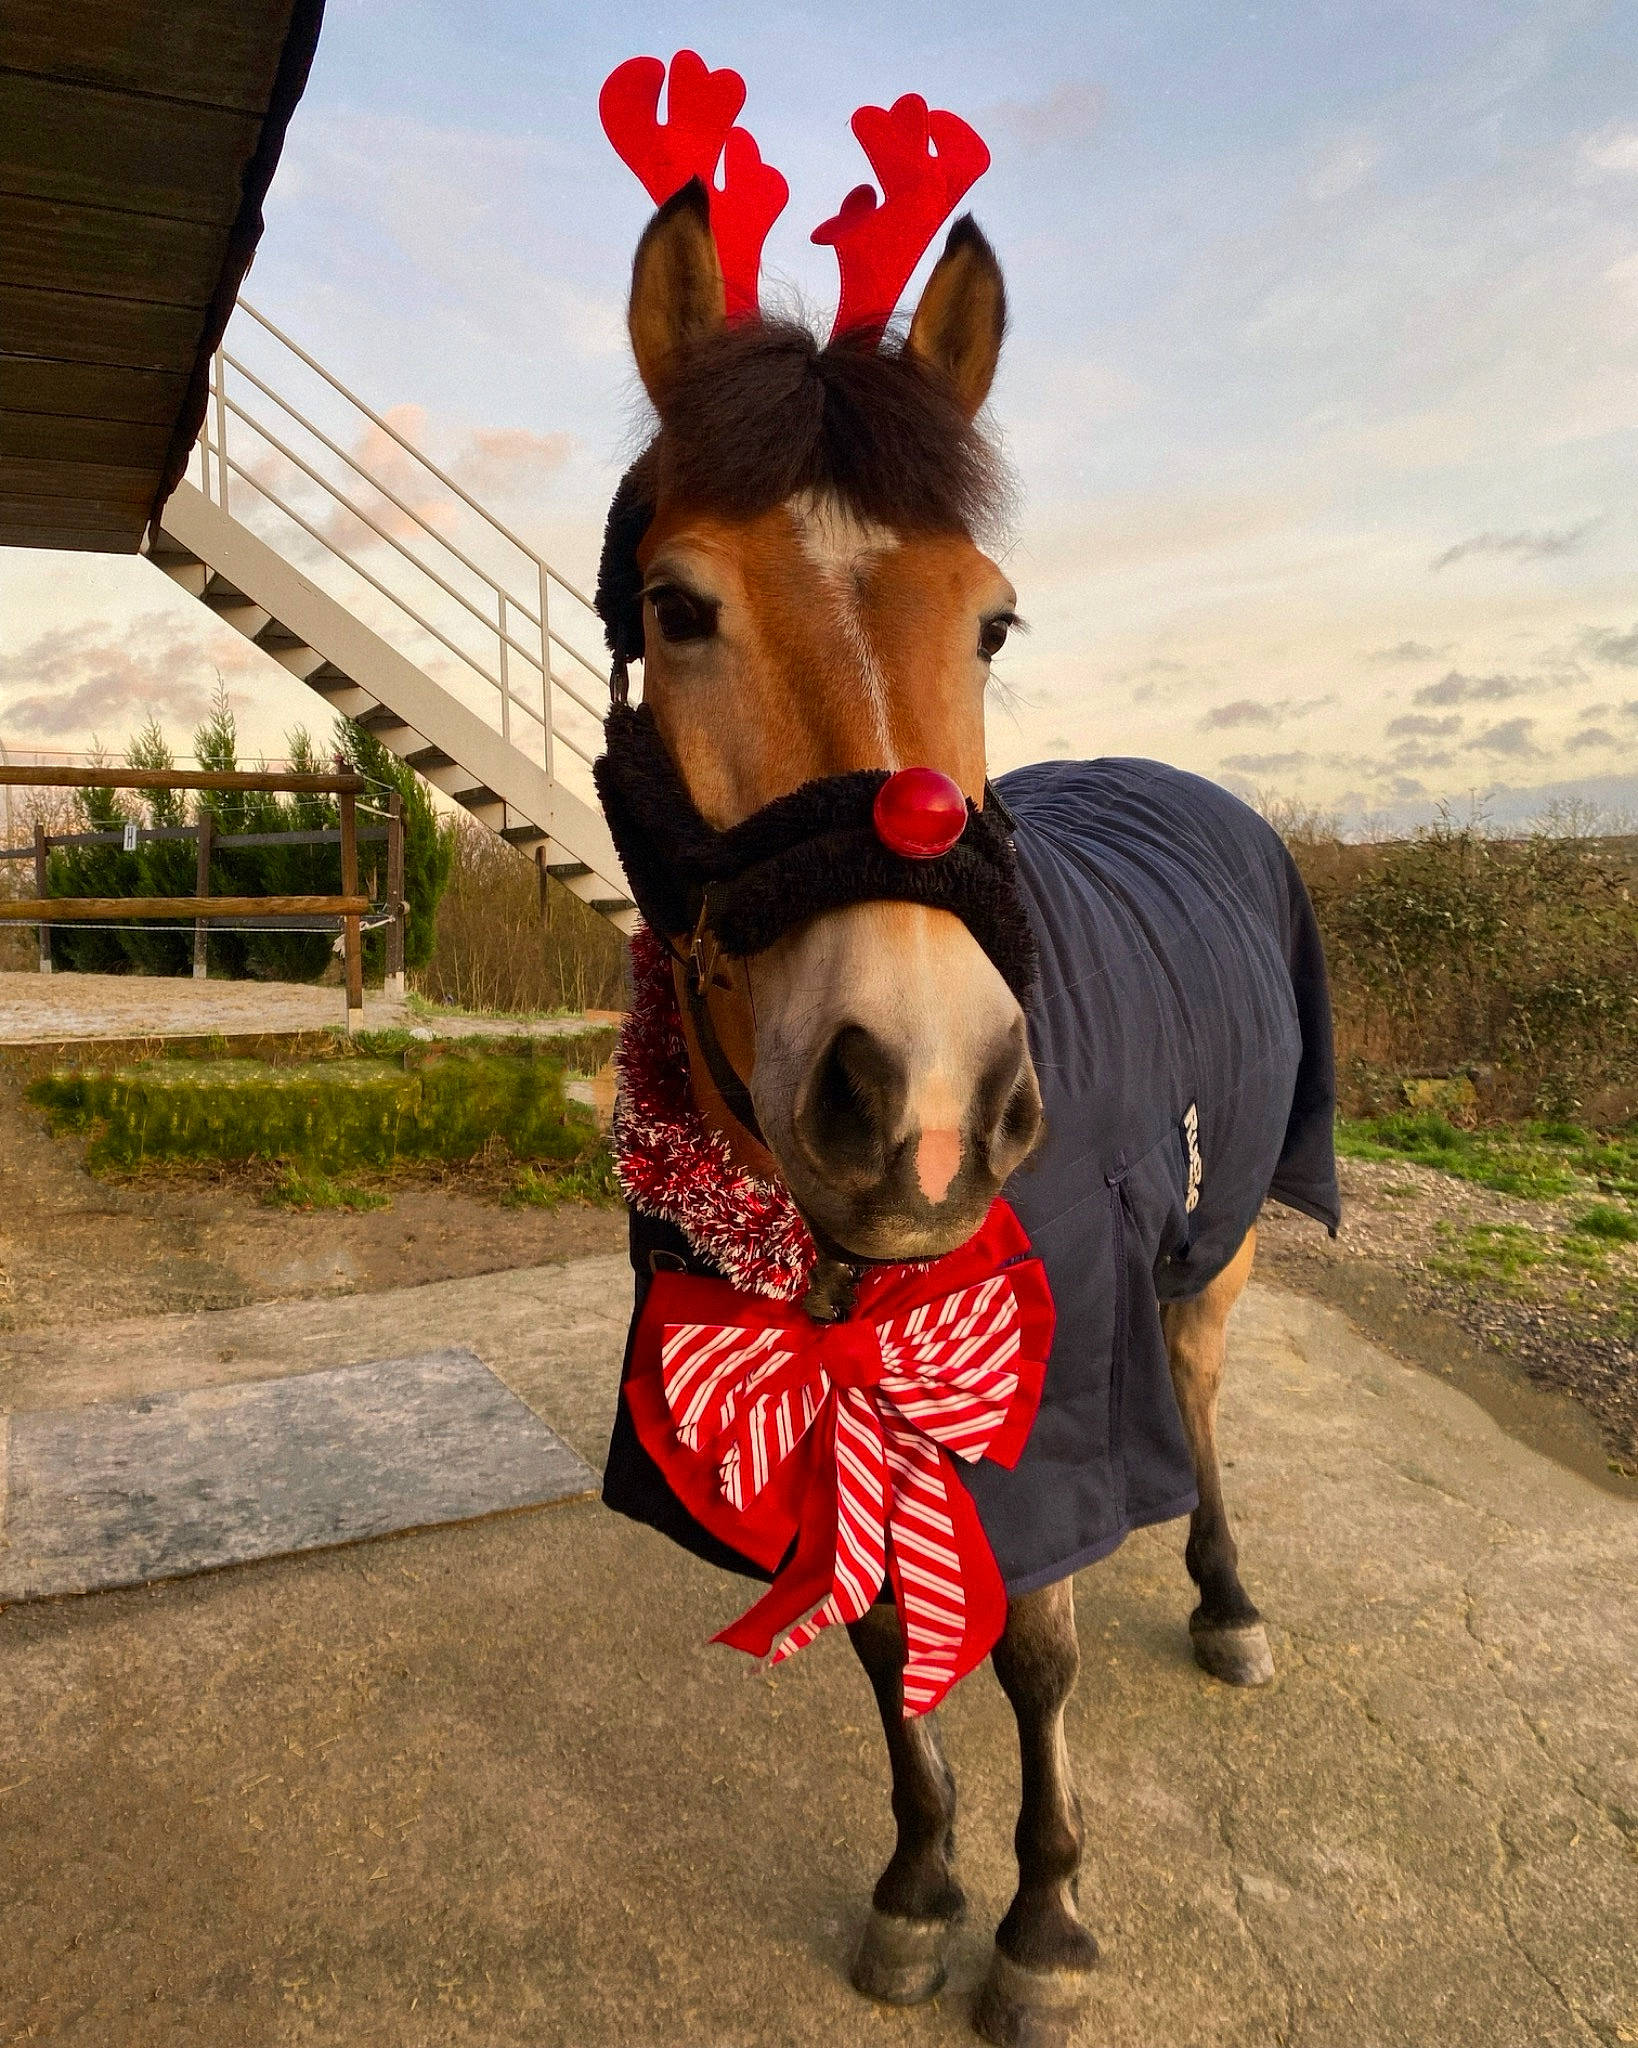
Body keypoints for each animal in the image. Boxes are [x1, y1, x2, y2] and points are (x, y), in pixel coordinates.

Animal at [590, 153, 1338, 2047]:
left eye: (987, 619)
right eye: (676, 608)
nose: (917, 1099)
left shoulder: (1045, 1375)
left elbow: (1039, 1647)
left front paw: (1045, 1917)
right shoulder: (829, 1398)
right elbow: (881, 1640)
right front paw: (921, 1884)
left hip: (1219, 1236)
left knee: (1195, 1400)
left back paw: (1224, 1595)